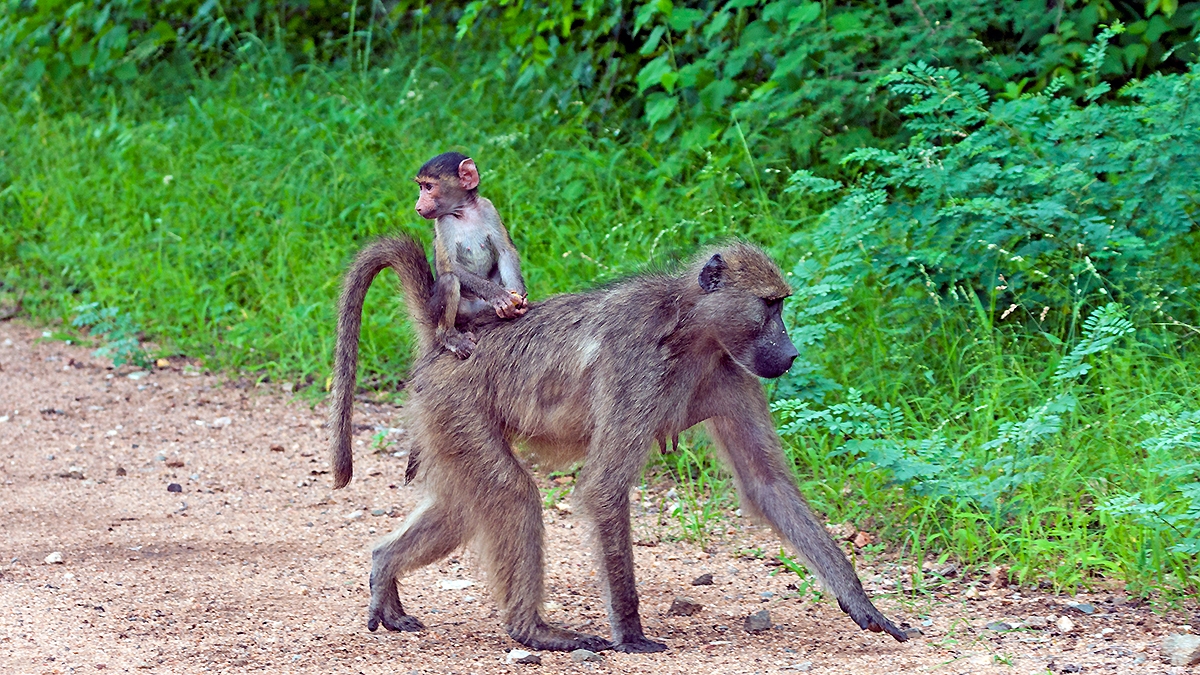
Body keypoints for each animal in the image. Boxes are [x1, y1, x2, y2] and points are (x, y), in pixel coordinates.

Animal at [328, 235, 908, 653]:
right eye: (770, 306)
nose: (789, 355)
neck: (690, 330)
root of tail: (446, 340)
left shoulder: (735, 373)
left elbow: (767, 485)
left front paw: (862, 604)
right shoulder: (637, 361)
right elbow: (604, 489)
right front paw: (630, 633)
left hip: (443, 421)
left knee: (461, 510)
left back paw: (385, 568)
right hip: (455, 408)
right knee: (512, 497)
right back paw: (532, 631)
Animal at [414, 151, 528, 359]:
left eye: (428, 187)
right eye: (421, 187)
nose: (418, 206)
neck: (464, 212)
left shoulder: (488, 208)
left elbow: (505, 252)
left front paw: (518, 296)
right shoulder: (443, 222)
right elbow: (449, 267)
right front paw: (499, 295)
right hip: (456, 312)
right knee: (449, 280)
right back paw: (449, 337)